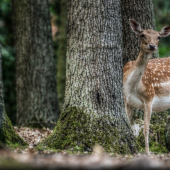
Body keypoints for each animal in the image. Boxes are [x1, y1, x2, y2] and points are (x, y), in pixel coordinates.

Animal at [123, 19, 170, 155]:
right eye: (142, 35)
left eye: (158, 37)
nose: (152, 46)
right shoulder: (127, 100)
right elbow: (129, 125)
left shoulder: (149, 98)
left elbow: (146, 129)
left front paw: (147, 152)